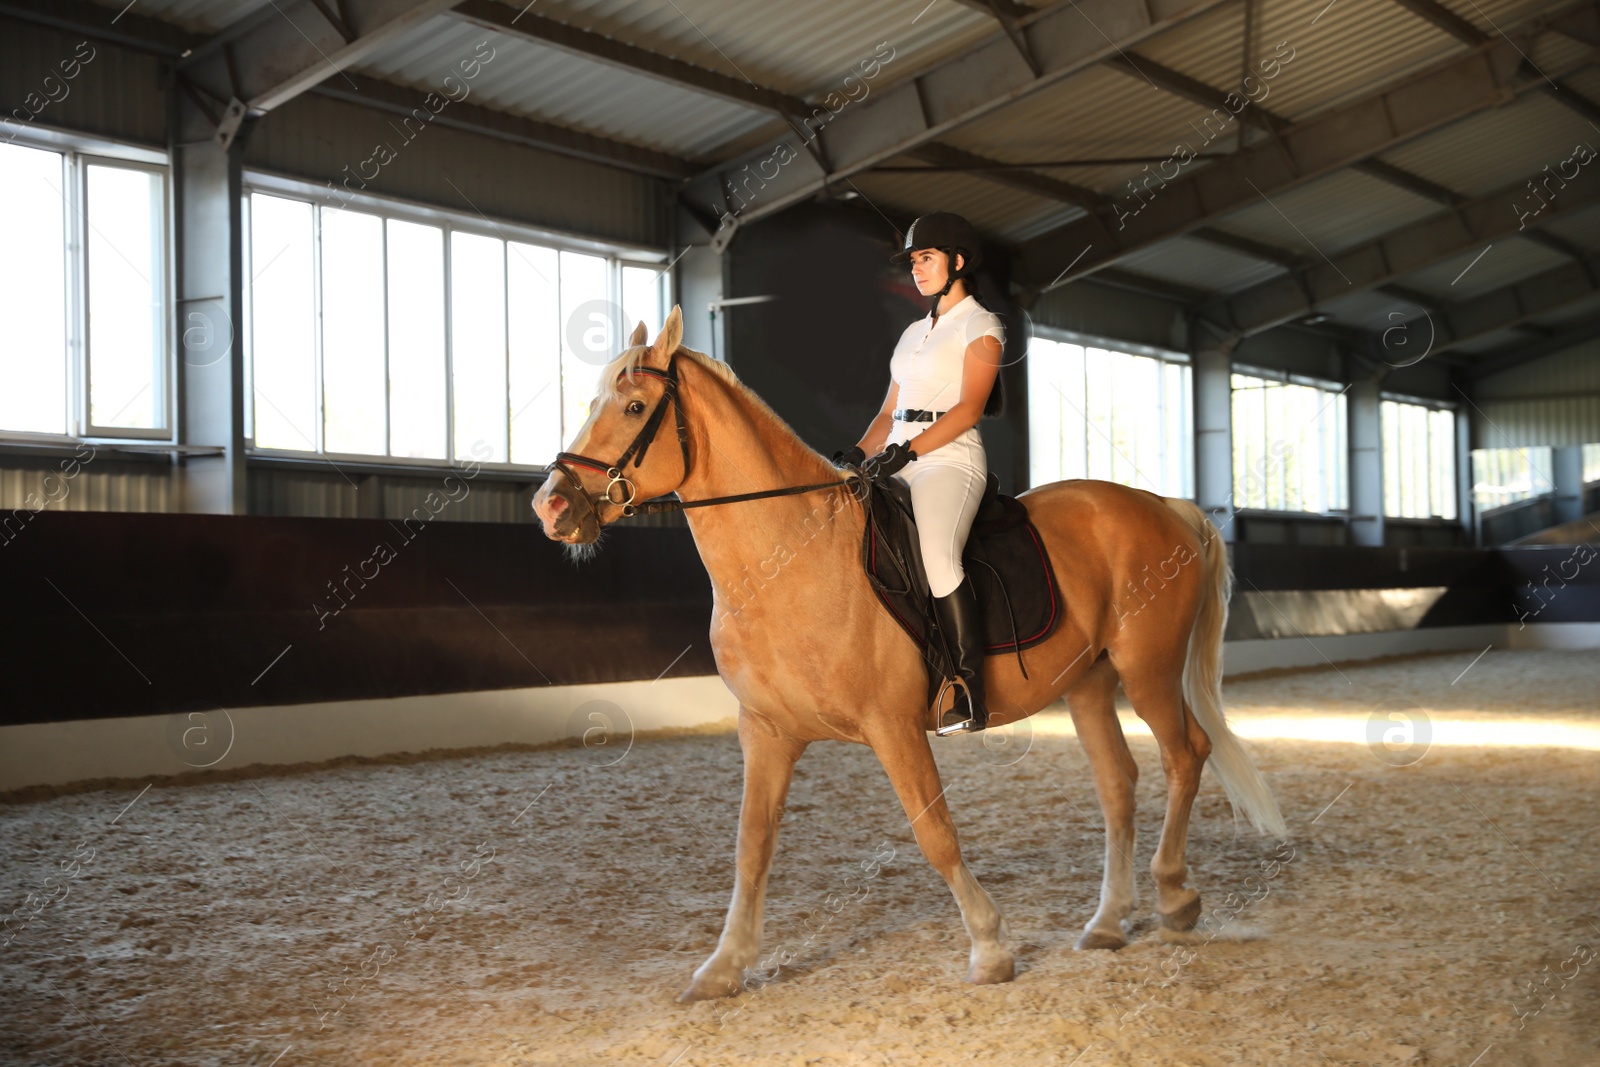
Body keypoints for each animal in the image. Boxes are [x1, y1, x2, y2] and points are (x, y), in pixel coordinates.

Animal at [537, 307, 1286, 1004]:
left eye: (634, 407)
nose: (551, 507)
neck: (789, 556)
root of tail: (1161, 505)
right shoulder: (767, 732)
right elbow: (751, 847)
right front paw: (723, 967)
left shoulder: (892, 725)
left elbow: (936, 834)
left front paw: (990, 947)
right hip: (1090, 683)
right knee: (1118, 784)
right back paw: (1107, 920)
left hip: (1147, 668)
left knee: (1185, 754)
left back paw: (1174, 896)